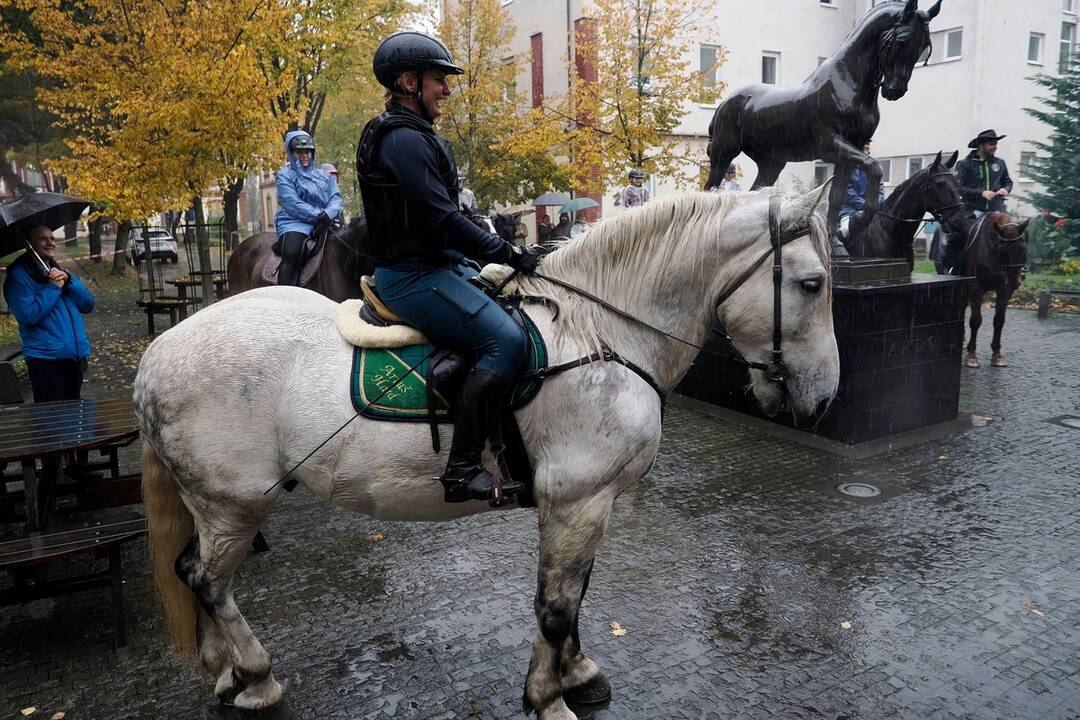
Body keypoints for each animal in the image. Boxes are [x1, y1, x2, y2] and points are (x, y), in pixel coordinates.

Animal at [704, 0, 941, 236]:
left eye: (923, 48)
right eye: (902, 40)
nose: (895, 90)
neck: (849, 83)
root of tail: (726, 103)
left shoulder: (849, 153)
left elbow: (836, 196)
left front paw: (834, 235)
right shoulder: (832, 144)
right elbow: (874, 167)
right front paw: (862, 218)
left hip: (771, 162)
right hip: (723, 155)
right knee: (708, 190)